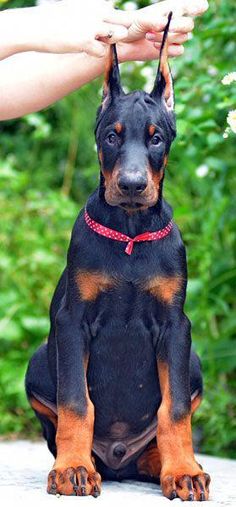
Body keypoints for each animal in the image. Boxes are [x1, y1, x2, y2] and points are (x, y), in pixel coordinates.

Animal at [25, 14, 210, 500]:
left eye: (156, 139)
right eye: (112, 136)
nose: (130, 185)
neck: (130, 233)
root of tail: (119, 461)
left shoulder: (176, 327)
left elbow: (175, 409)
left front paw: (183, 470)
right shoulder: (72, 321)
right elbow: (76, 402)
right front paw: (71, 469)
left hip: (195, 361)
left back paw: (165, 465)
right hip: (39, 359)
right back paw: (87, 463)